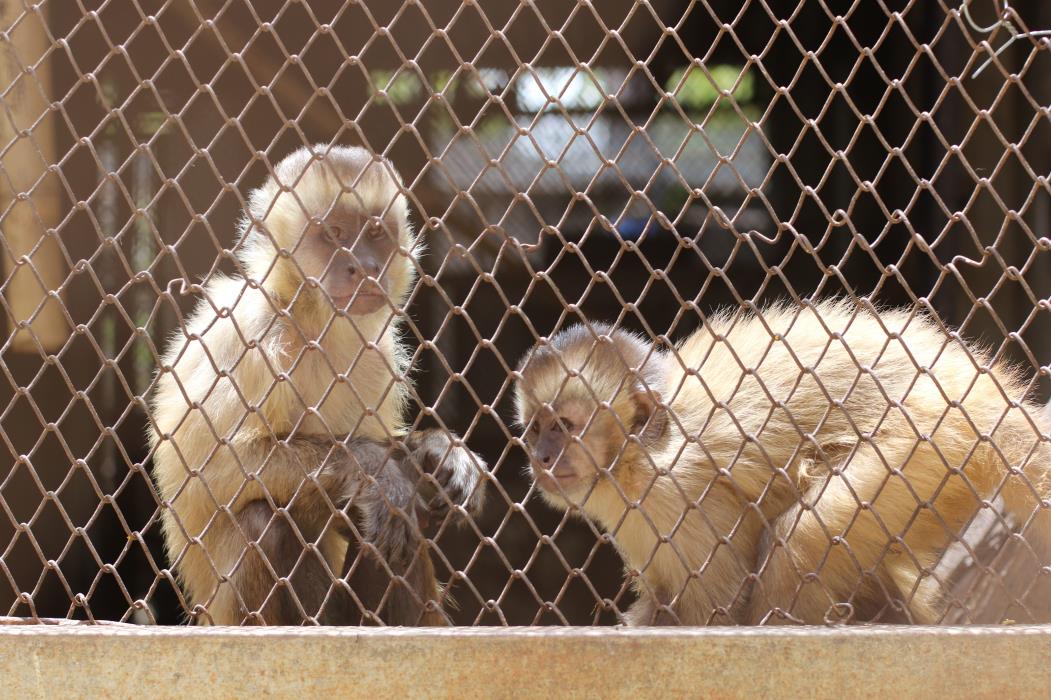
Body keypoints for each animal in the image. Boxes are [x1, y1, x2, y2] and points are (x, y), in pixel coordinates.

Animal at [148, 144, 486, 626]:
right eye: (335, 233)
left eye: (374, 233)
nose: (363, 265)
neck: (312, 318)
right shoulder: (252, 335)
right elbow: (212, 470)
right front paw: (373, 469)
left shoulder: (377, 353)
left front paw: (437, 451)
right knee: (262, 523)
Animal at [514, 300, 1051, 626]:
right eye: (537, 428)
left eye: (565, 426)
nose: (542, 456)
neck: (642, 449)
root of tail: (976, 388)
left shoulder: (674, 491)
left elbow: (716, 611)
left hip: (927, 439)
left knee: (802, 538)